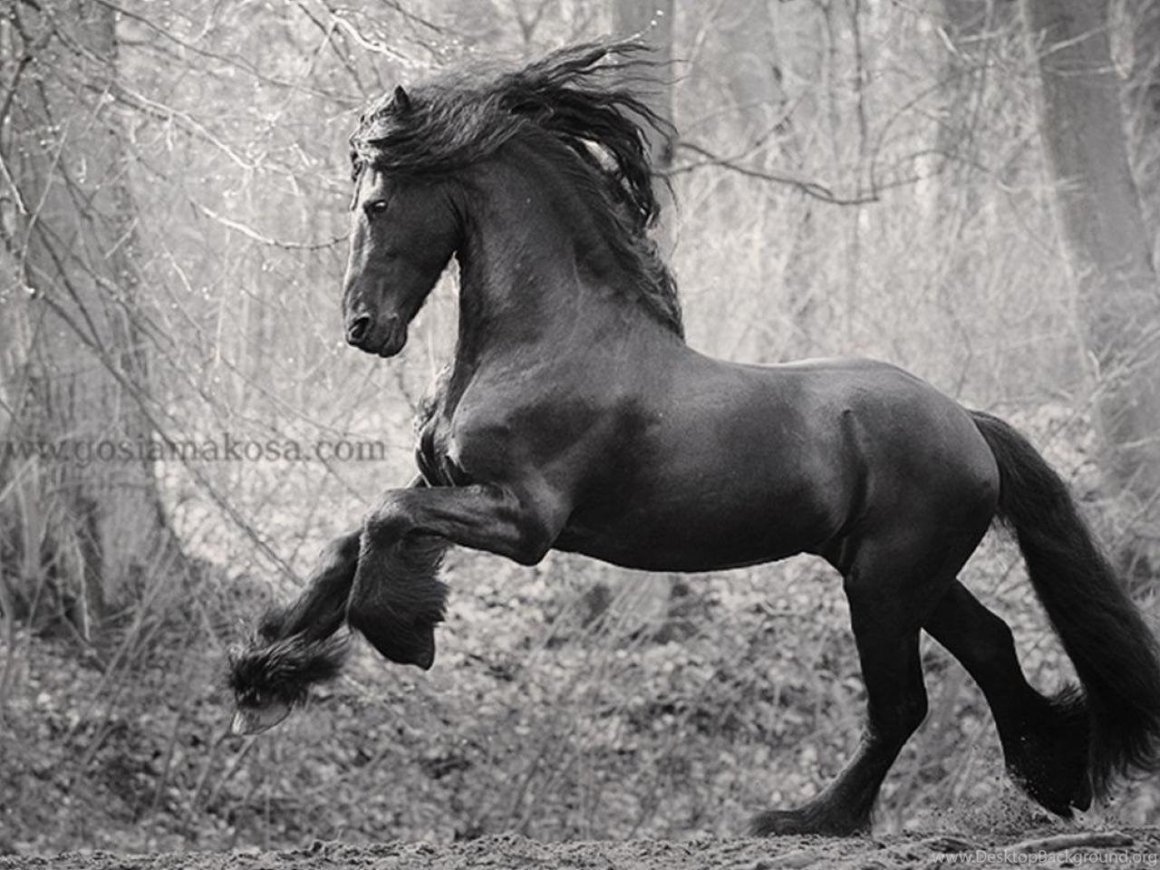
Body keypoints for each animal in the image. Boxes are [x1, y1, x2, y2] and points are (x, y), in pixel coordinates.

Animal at [229, 41, 1160, 835]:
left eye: (377, 203)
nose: (363, 329)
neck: (549, 338)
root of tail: (968, 422)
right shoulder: (452, 488)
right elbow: (351, 544)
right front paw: (264, 674)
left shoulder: (524, 521)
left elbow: (383, 520)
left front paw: (402, 636)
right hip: (904, 575)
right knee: (993, 647)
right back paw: (1052, 780)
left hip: (885, 583)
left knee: (903, 704)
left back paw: (811, 818)